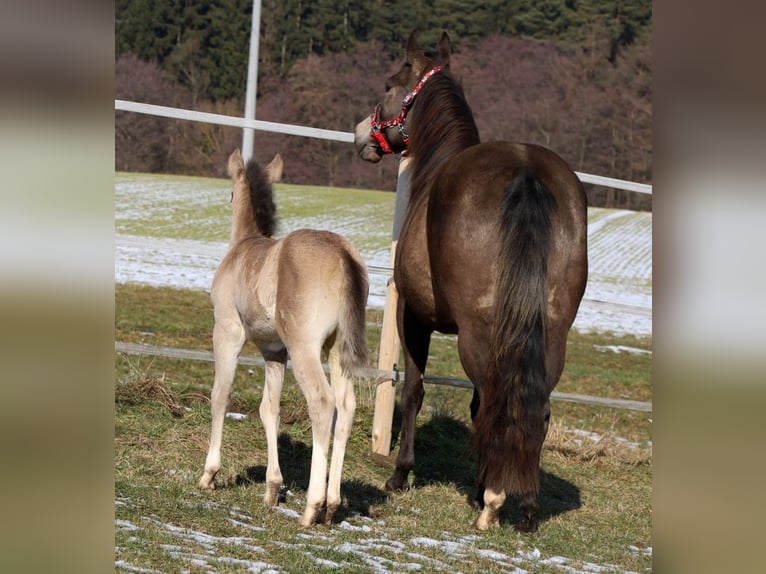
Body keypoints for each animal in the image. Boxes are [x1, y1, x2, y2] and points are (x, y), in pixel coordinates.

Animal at [198, 149, 369, 527]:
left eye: (230, 193)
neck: (243, 247)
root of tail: (343, 254)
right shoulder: (275, 351)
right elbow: (268, 410)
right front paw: (272, 489)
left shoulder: (227, 332)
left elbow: (220, 395)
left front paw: (209, 474)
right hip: (337, 350)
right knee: (346, 407)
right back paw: (331, 506)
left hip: (305, 348)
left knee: (323, 402)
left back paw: (312, 508)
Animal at [354, 31, 588, 532]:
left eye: (388, 82)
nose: (362, 132)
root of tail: (526, 171)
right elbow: (480, 405)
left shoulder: (413, 316)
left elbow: (414, 391)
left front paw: (401, 474)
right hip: (550, 335)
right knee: (531, 407)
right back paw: (525, 504)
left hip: (476, 334)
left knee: (498, 403)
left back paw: (495, 500)